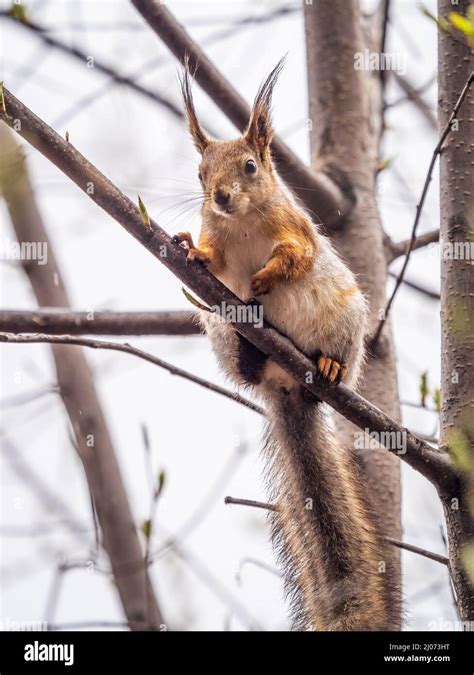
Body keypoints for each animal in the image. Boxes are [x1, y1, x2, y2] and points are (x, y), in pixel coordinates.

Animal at [174, 59, 400, 632]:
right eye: (200, 174)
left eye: (251, 166)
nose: (221, 197)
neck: (242, 223)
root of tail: (287, 385)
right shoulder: (221, 247)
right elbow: (215, 261)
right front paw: (192, 249)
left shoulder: (297, 228)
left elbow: (297, 256)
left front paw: (268, 276)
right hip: (223, 339)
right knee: (245, 361)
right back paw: (251, 350)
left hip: (346, 325)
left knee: (332, 359)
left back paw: (328, 367)